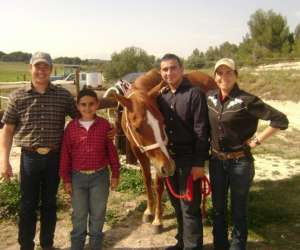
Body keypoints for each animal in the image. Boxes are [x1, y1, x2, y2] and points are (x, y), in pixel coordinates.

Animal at [110, 68, 216, 232]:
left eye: (162, 120)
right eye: (137, 128)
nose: (170, 167)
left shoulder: (162, 159)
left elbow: (158, 185)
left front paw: (157, 220)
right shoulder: (138, 151)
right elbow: (147, 180)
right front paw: (149, 211)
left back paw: (204, 213)